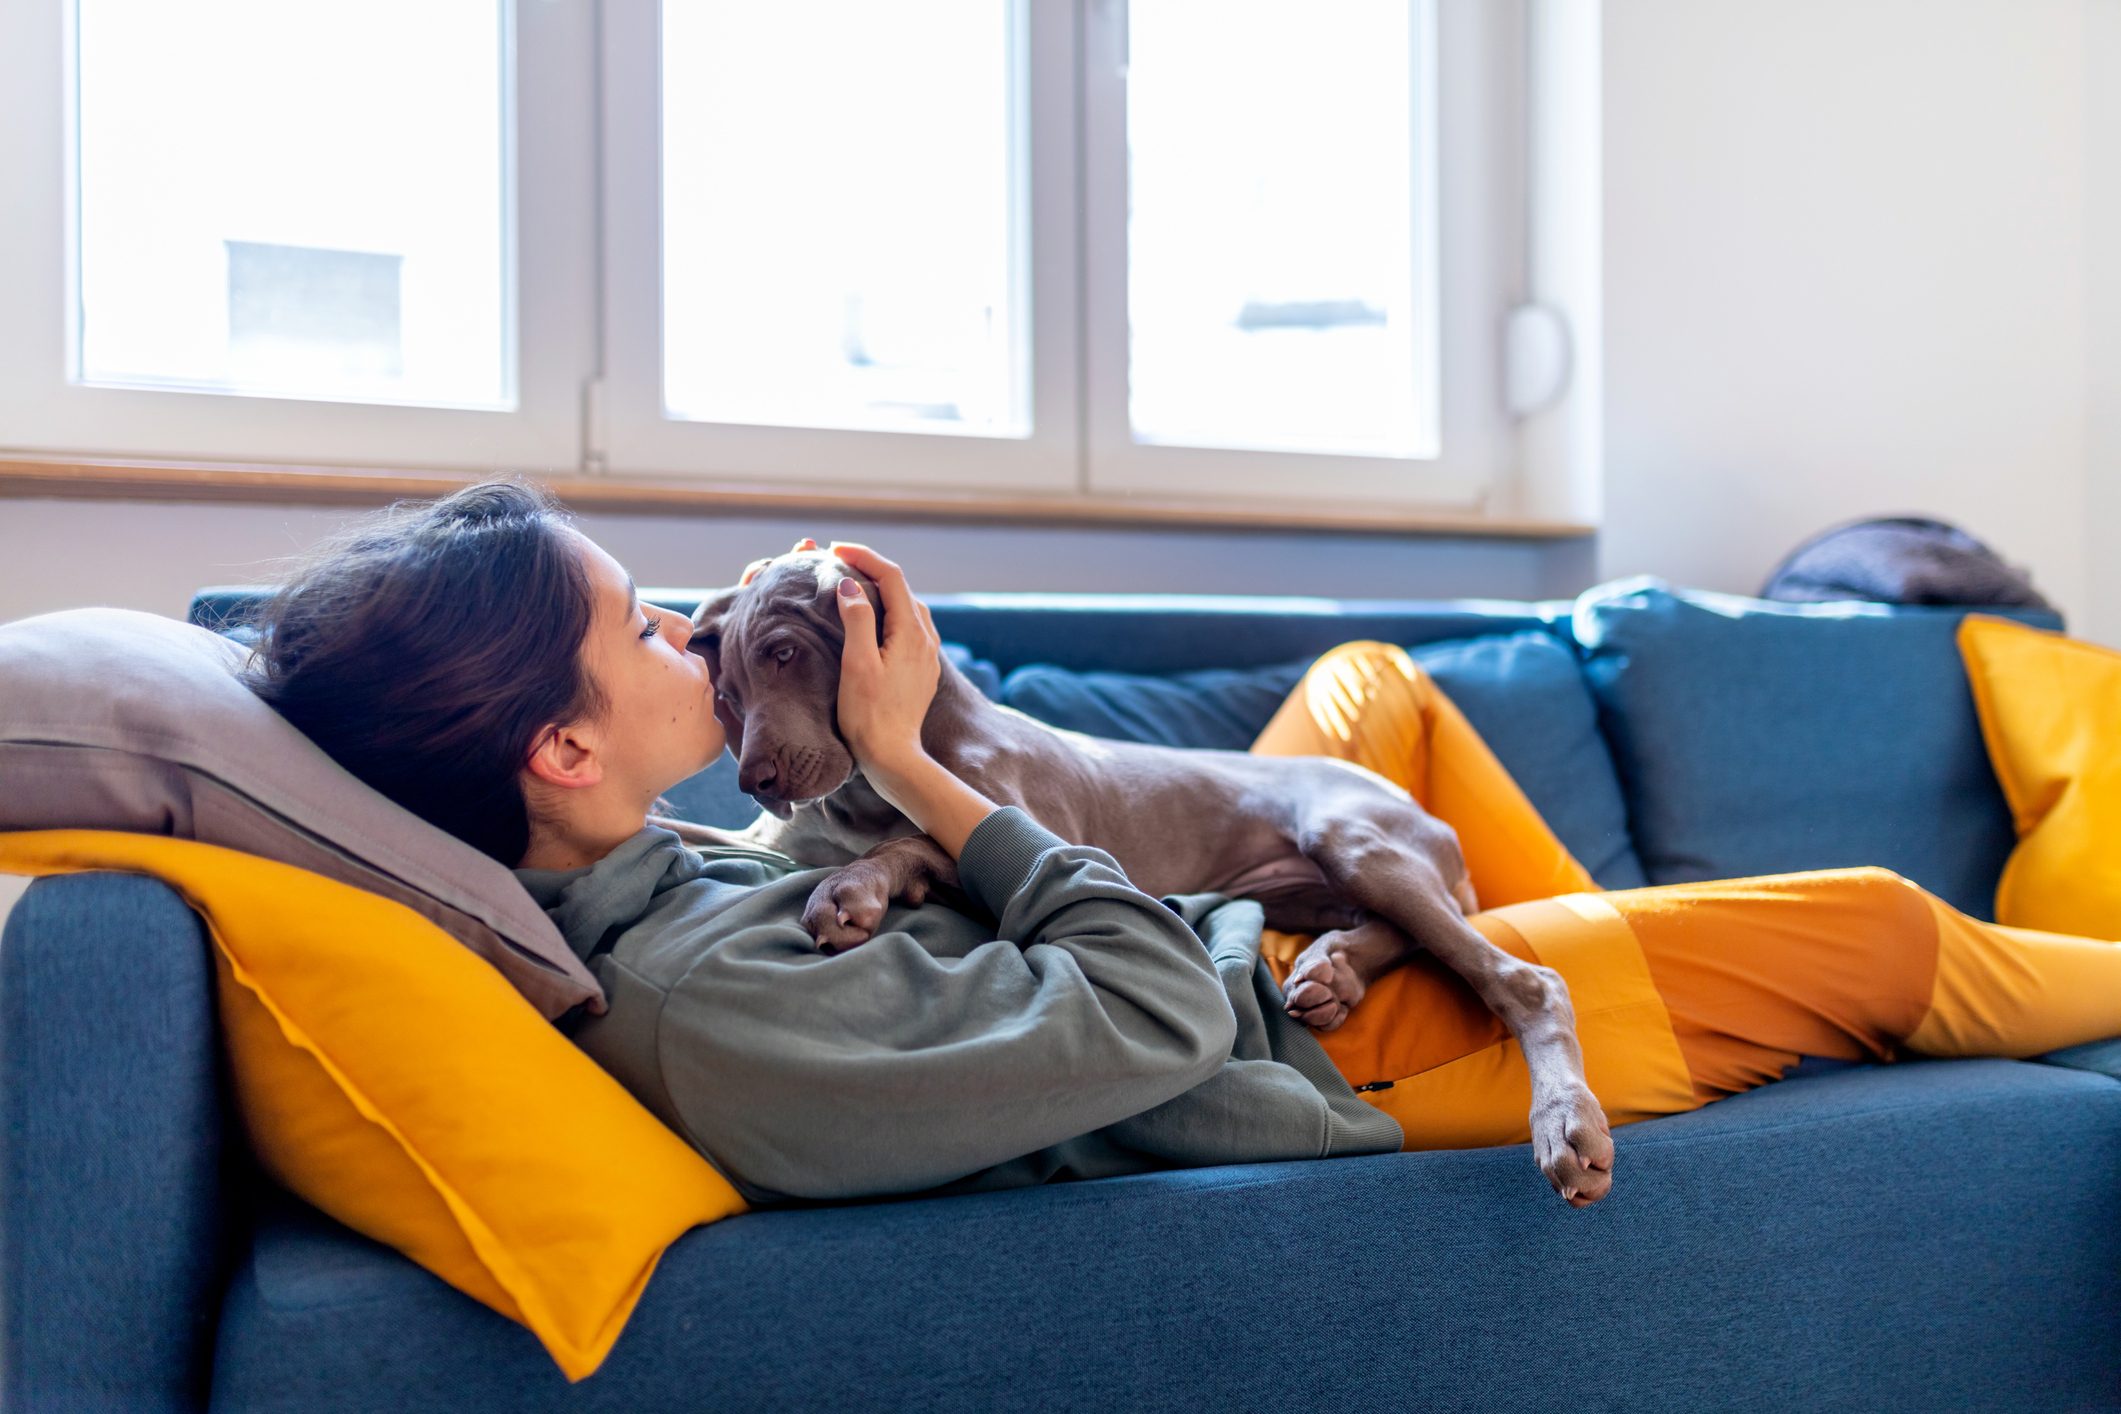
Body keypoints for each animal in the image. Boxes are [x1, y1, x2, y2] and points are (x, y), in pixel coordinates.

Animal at [661, 546, 1603, 1204]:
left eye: (786, 653)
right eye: (724, 692)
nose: (757, 779)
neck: (860, 789)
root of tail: (1424, 818)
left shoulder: (1044, 836)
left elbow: (915, 846)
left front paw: (851, 888)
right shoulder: (769, 835)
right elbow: (691, 830)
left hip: (1354, 839)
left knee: (1519, 976)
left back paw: (1565, 1124)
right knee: (1407, 932)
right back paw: (1329, 972)